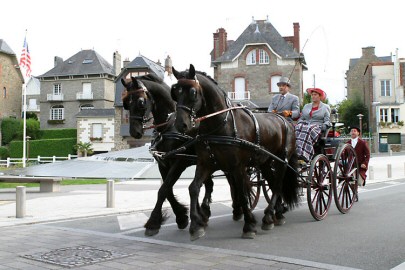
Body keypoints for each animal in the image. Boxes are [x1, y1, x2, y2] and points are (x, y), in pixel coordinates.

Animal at [170, 64, 300, 239]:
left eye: (193, 92)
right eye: (175, 92)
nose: (181, 124)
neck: (220, 125)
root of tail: (284, 119)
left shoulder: (237, 167)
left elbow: (243, 194)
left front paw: (249, 225)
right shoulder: (206, 163)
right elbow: (193, 188)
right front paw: (196, 225)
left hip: (282, 160)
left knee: (278, 185)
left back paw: (268, 216)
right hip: (265, 162)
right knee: (273, 184)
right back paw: (275, 215)